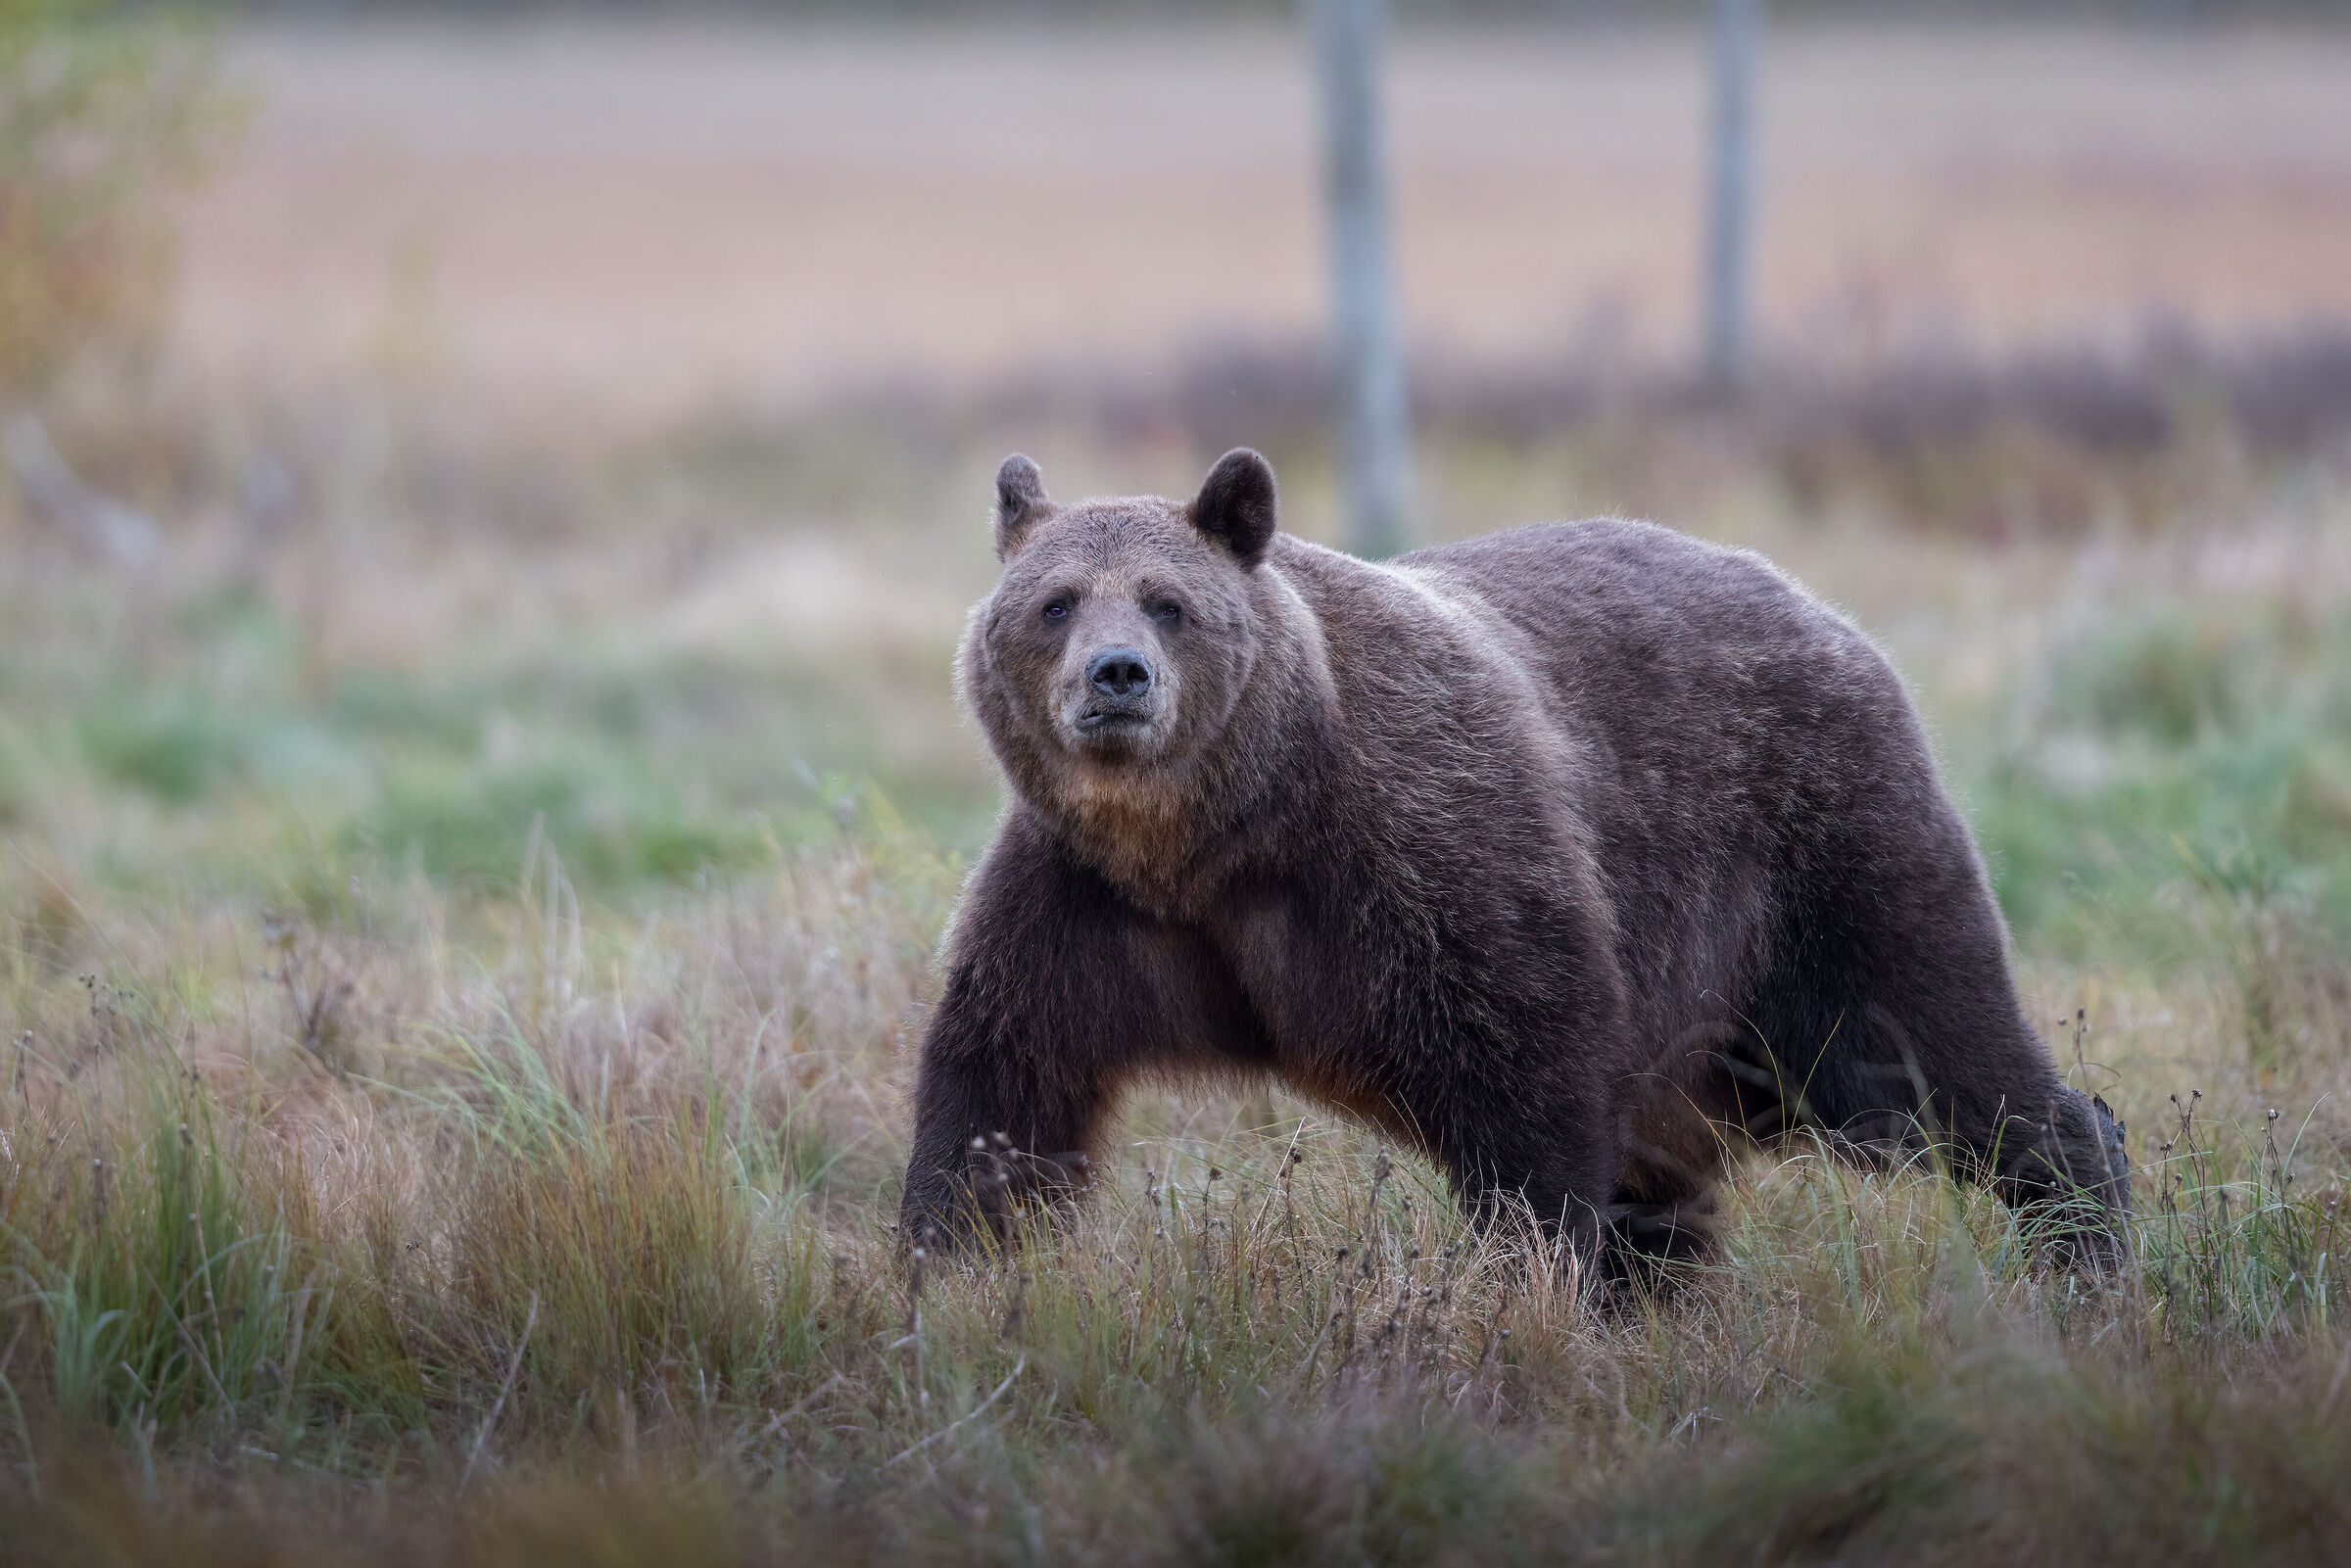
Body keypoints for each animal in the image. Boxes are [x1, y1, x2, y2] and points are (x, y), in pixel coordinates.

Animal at [898, 447, 2131, 1277]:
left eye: (1169, 601)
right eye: (1055, 600)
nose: (1117, 676)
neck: (1221, 834)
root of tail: (1831, 615)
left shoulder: (1424, 860)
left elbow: (1528, 1090)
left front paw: (1522, 1279)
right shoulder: (1087, 907)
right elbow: (1001, 1087)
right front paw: (952, 1260)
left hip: (1812, 864)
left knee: (1928, 1049)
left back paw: (2084, 1221)